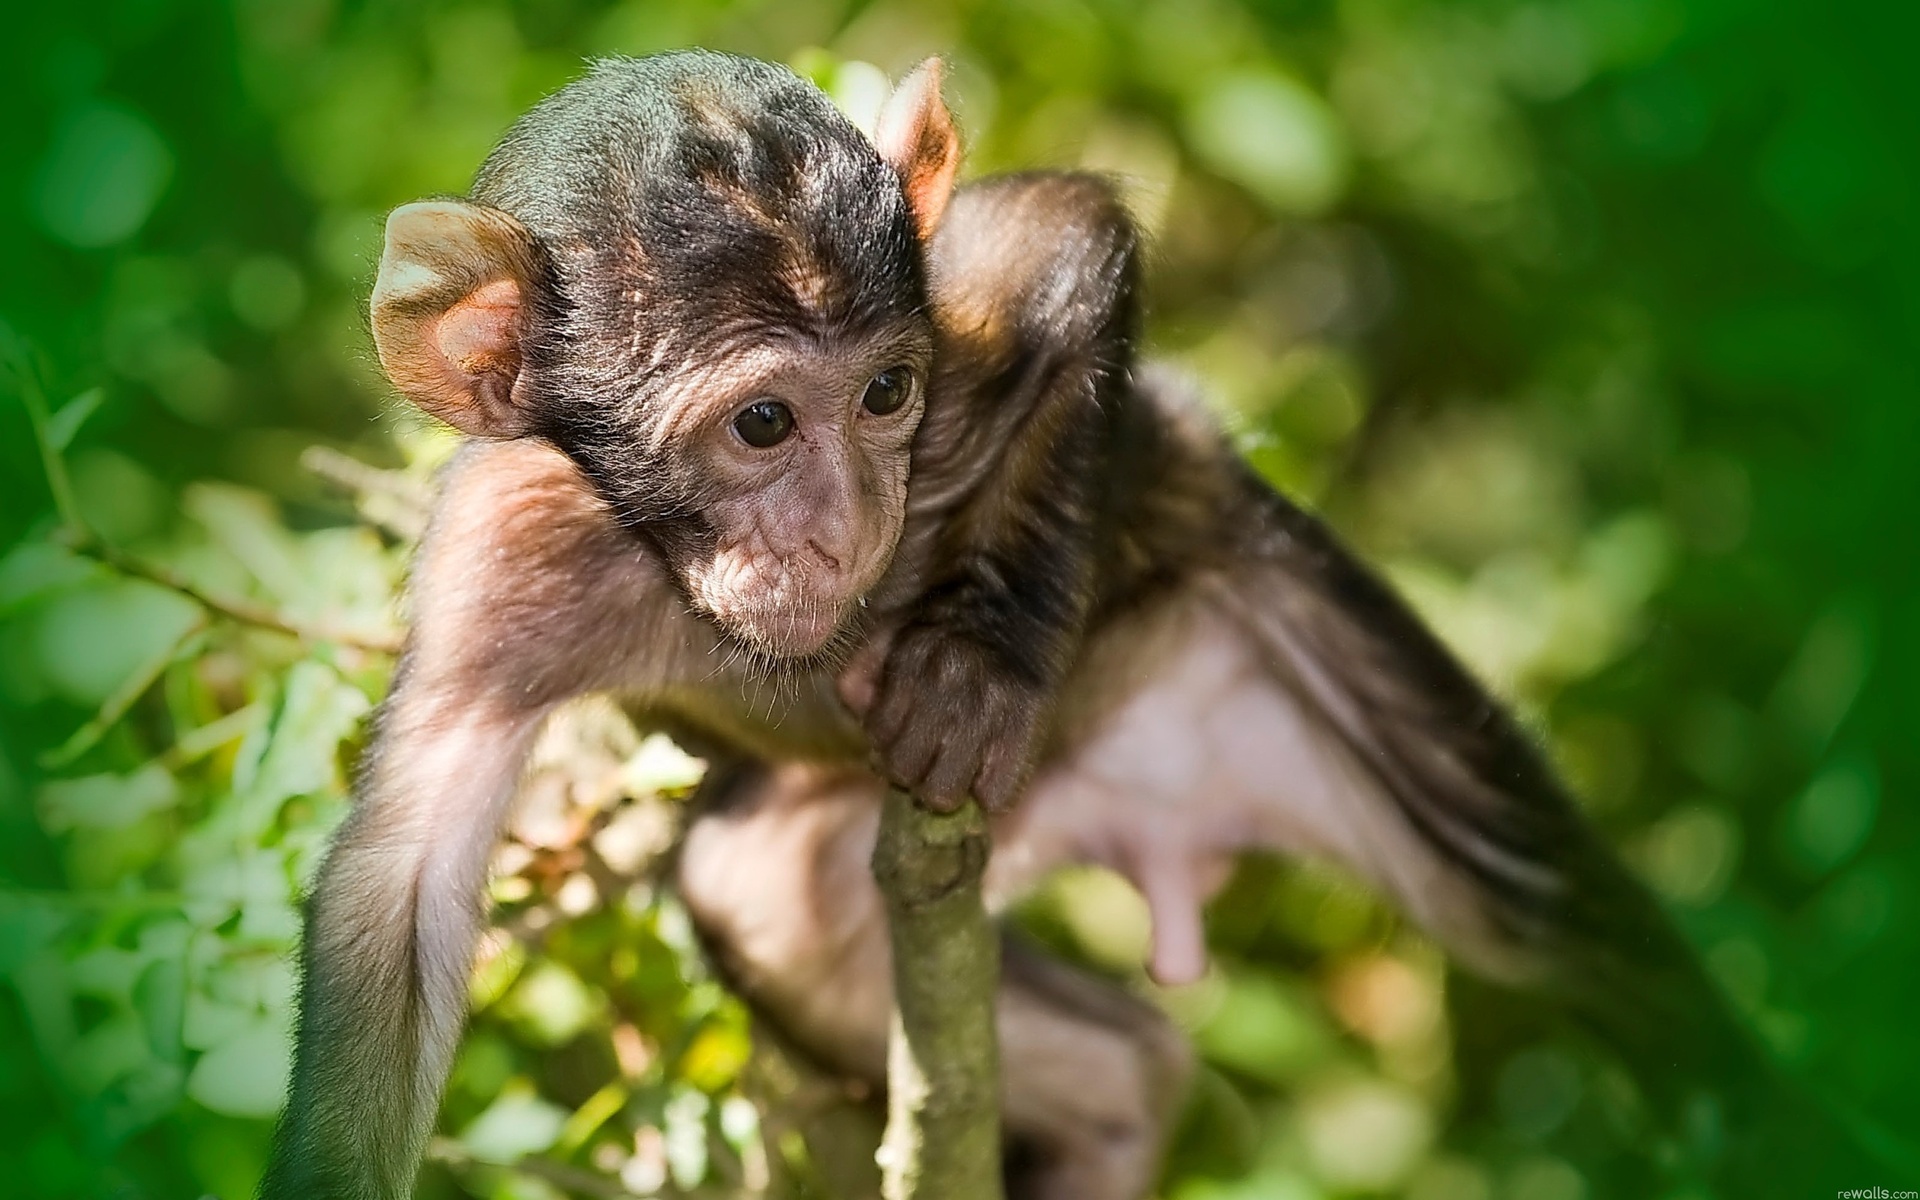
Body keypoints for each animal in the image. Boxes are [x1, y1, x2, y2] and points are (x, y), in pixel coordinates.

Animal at [259, 44, 1873, 1198]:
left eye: (885, 395)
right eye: (761, 423)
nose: (844, 525)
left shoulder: (950, 327)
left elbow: (1064, 234)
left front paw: (985, 653)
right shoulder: (501, 564)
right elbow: (397, 899)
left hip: (1255, 604)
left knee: (1562, 930)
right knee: (797, 918)